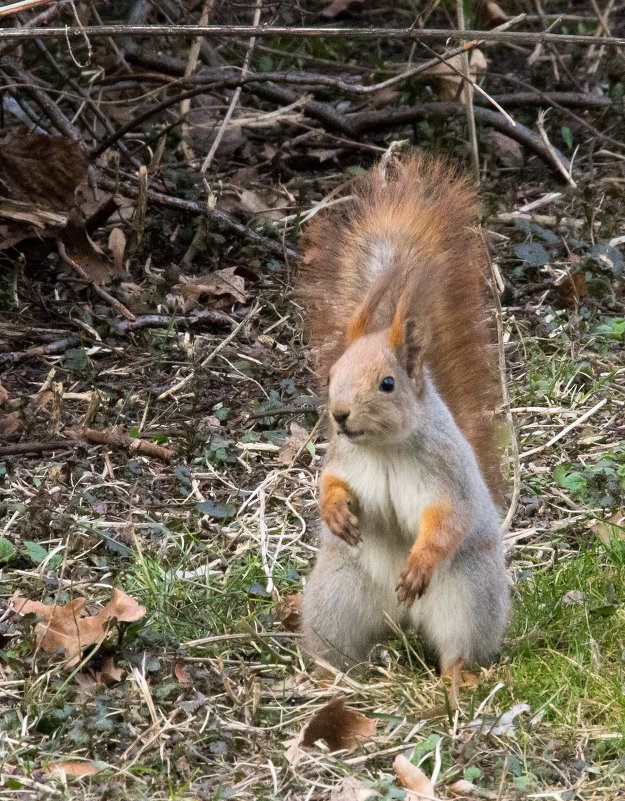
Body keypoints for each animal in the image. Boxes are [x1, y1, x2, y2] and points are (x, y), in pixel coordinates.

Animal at [296, 153, 508, 704]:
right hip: (336, 598)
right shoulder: (342, 457)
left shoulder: (448, 474)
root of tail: (402, 622)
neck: (384, 449)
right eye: (332, 372)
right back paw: (329, 676)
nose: (339, 414)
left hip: (468, 597)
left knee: (458, 645)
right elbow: (328, 483)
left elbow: (449, 518)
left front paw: (418, 562)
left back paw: (456, 675)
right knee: (336, 646)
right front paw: (337, 513)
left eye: (387, 383)